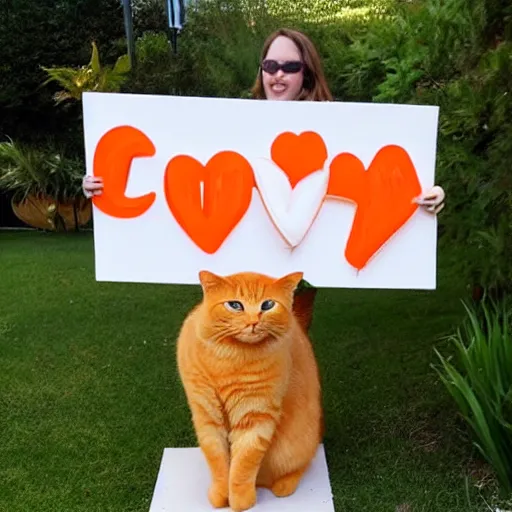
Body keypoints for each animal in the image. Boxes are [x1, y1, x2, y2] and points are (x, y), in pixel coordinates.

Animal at [175, 270, 320, 510]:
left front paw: (240, 501)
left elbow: (243, 466)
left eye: (268, 304)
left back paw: (284, 486)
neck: (230, 356)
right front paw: (220, 495)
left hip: (295, 447)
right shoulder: (206, 415)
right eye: (235, 305)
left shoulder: (256, 416)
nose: (253, 321)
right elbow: (218, 463)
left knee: (302, 465)